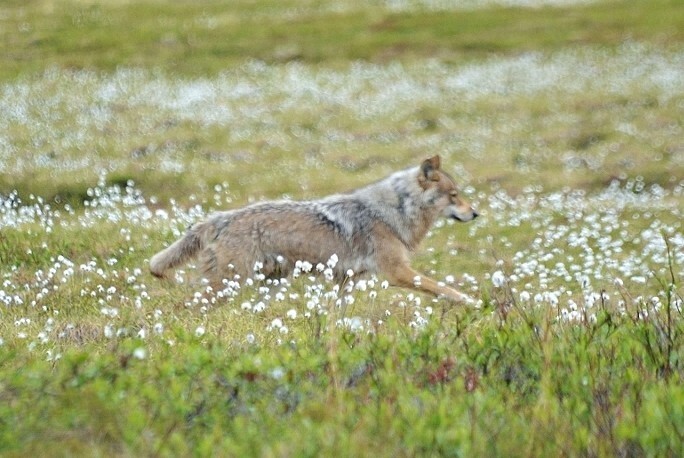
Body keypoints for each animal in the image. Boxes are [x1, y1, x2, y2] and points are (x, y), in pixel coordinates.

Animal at [150, 156, 478, 302]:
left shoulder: (347, 280)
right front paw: (473, 303)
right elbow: (445, 288)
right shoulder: (396, 272)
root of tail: (220, 217)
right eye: (454, 195)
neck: (392, 211)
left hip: (266, 284)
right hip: (230, 284)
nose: (475, 213)